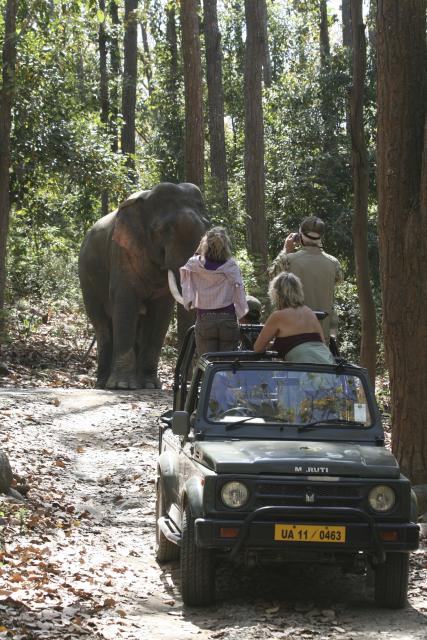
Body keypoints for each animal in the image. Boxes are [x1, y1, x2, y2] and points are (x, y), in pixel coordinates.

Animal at [78, 182, 208, 389]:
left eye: (206, 227)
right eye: (162, 230)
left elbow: (161, 311)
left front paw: (150, 385)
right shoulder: (122, 251)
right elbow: (125, 301)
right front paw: (122, 386)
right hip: (87, 279)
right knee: (102, 325)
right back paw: (103, 383)